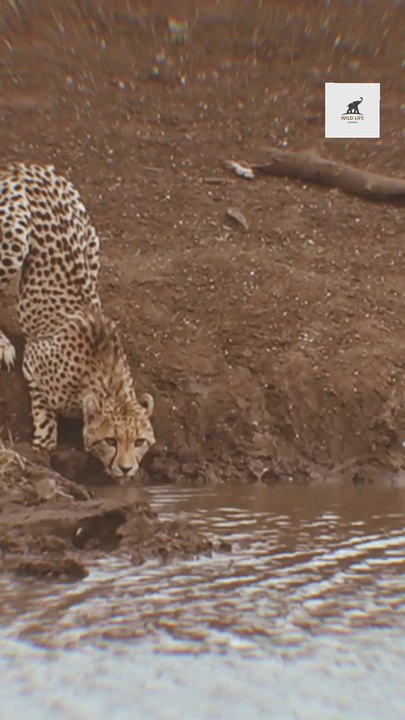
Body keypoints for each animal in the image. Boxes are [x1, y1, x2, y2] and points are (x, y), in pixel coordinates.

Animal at [0, 162, 155, 481]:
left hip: (92, 242)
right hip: (13, 239)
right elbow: (45, 417)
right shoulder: (33, 359)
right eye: (111, 440)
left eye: (140, 442)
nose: (126, 468)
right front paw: (44, 443)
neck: (105, 380)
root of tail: (27, 166)